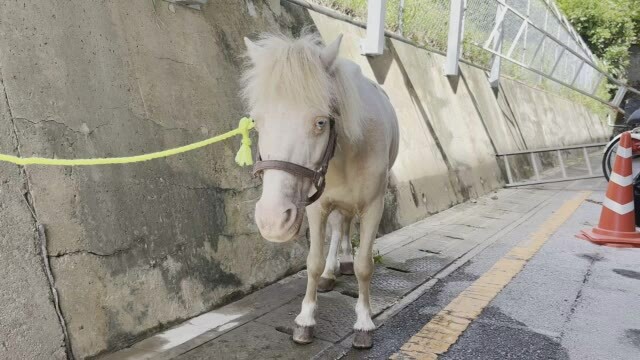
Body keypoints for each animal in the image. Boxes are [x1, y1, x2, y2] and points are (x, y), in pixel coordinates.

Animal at [242, 32, 398, 348]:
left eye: (320, 122)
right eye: (257, 122)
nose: (272, 221)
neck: (344, 154)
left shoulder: (373, 205)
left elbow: (365, 265)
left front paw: (364, 322)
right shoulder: (316, 205)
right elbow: (312, 262)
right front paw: (305, 320)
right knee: (339, 228)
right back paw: (332, 269)